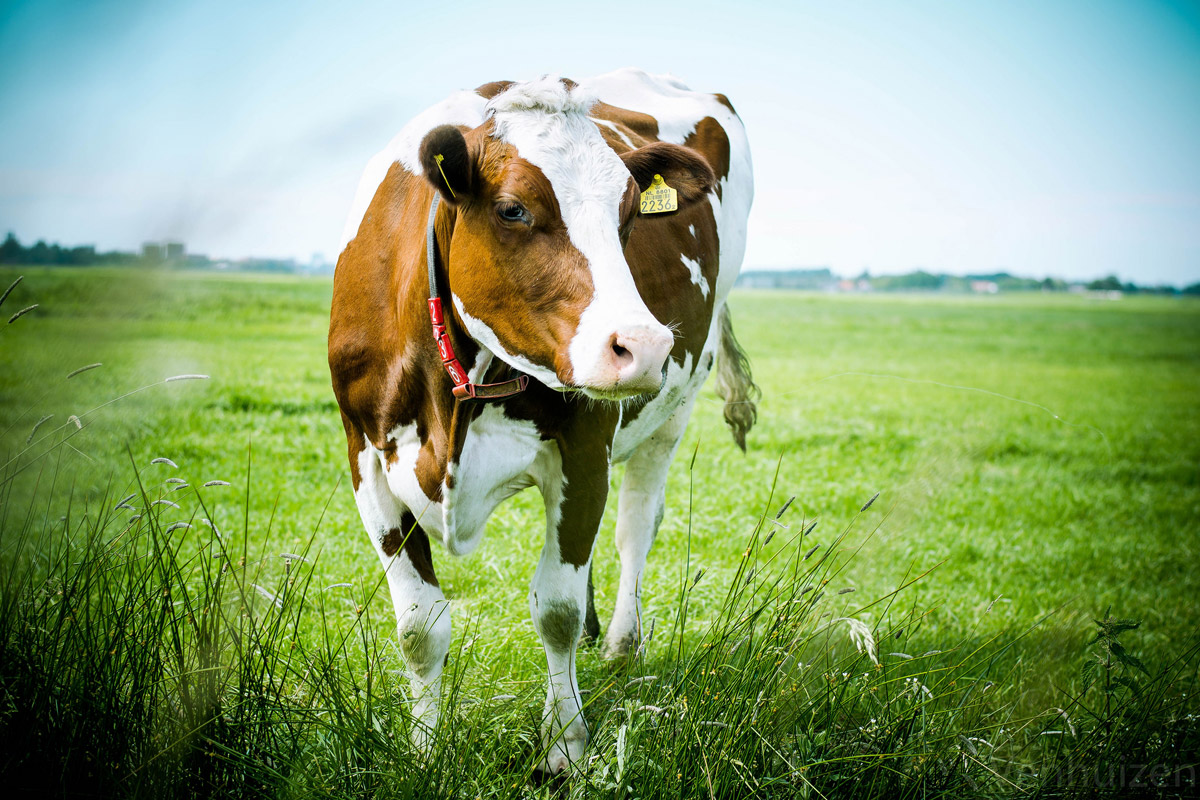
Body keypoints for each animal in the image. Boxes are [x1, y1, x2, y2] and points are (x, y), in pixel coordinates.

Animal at [326, 70, 758, 777]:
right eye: (512, 210)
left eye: (630, 213)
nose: (642, 346)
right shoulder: (365, 455)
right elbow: (420, 626)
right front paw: (425, 748)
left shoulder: (584, 449)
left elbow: (555, 609)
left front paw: (566, 749)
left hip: (675, 406)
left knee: (636, 526)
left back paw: (620, 644)